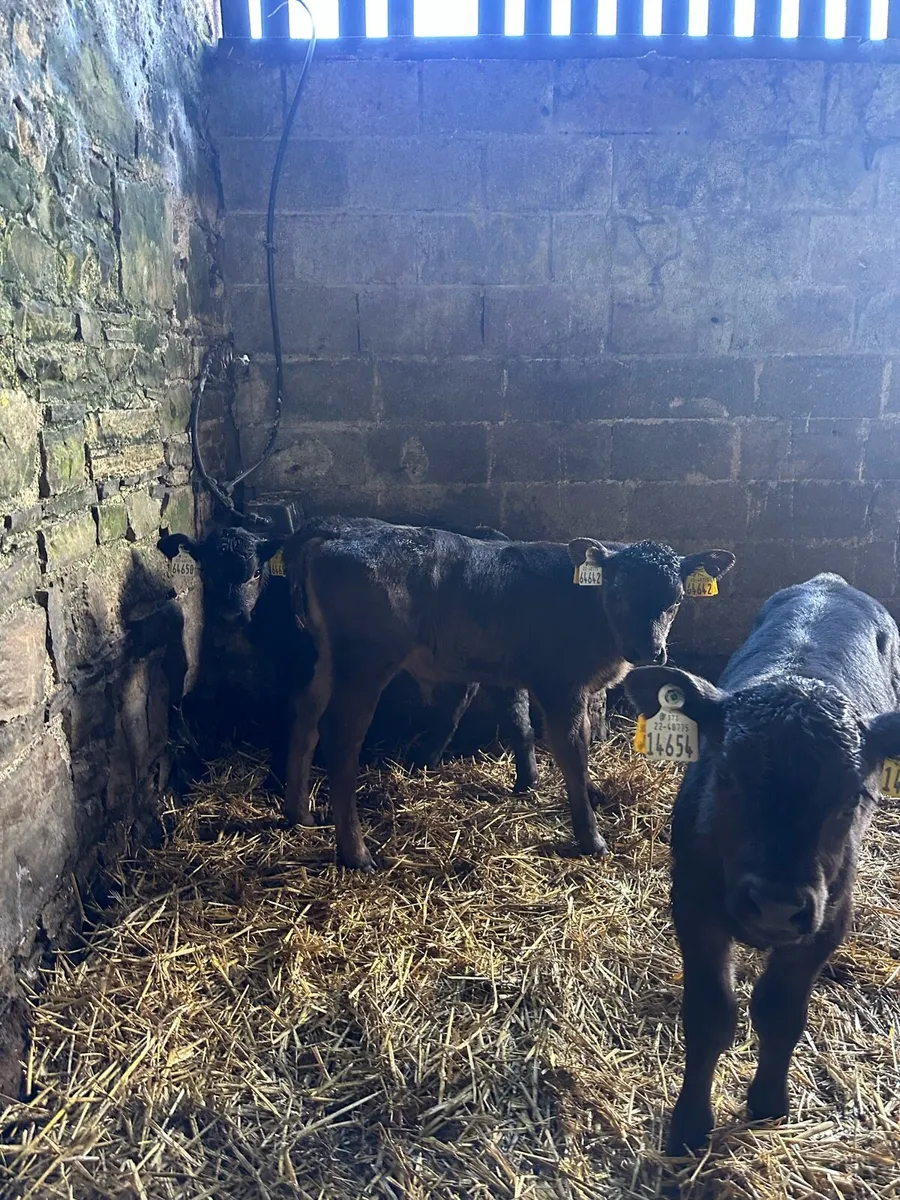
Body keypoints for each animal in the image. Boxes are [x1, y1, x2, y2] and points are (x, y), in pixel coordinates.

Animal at [156, 523, 539, 792]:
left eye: (255, 572)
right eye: (208, 571)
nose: (232, 615)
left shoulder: (299, 663)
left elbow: (289, 711)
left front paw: (279, 774)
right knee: (508, 702)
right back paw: (521, 778)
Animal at [279, 516, 735, 870]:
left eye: (676, 599)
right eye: (619, 593)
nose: (650, 651)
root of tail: (339, 529)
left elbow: (559, 732)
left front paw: (581, 791)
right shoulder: (561, 684)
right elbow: (572, 749)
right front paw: (592, 838)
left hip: (331, 657)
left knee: (305, 713)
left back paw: (299, 813)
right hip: (366, 659)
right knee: (341, 735)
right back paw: (355, 852)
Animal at [624, 573, 900, 1156]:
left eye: (852, 797)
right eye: (726, 774)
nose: (775, 906)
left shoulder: (829, 916)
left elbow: (780, 1011)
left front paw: (769, 1101)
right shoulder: (694, 902)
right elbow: (711, 1016)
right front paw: (689, 1125)